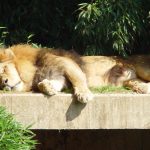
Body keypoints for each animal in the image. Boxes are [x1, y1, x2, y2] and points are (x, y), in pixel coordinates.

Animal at [0, 44, 150, 103]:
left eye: (4, 69)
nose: (4, 83)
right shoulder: (58, 77)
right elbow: (47, 84)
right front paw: (48, 87)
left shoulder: (67, 64)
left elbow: (78, 79)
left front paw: (83, 94)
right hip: (131, 81)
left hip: (142, 67)